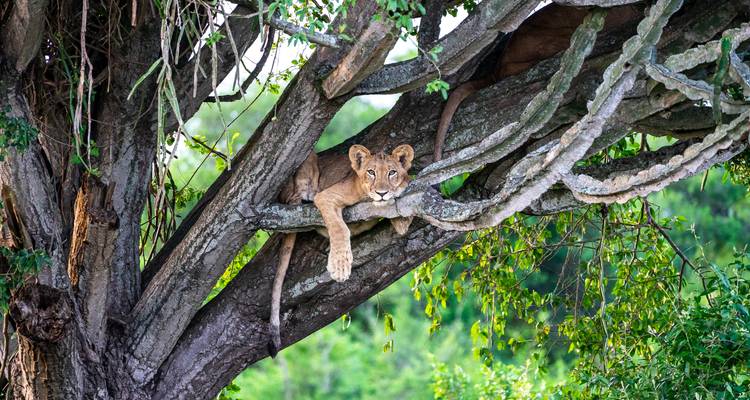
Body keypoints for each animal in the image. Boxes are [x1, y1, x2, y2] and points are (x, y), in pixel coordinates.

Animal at [269, 144, 415, 356]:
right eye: (371, 172)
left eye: (392, 172)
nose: (382, 193)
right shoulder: (327, 197)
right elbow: (339, 228)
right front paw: (339, 267)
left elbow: (403, 216)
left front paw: (400, 195)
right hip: (307, 161)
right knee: (294, 199)